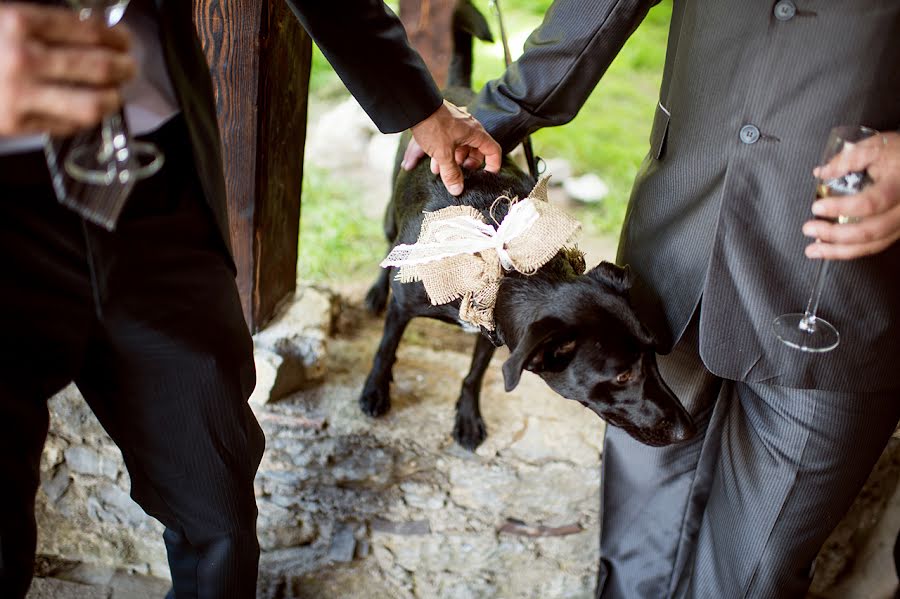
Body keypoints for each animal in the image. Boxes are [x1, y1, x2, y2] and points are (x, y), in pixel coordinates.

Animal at [356, 1, 692, 450]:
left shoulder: (495, 334)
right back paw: (378, 291)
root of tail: (457, 92)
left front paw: (468, 416)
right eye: (622, 375)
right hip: (392, 218)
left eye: (654, 355)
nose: (688, 429)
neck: (499, 262)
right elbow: (387, 347)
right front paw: (376, 390)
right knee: (388, 249)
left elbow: (475, 374)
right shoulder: (406, 309)